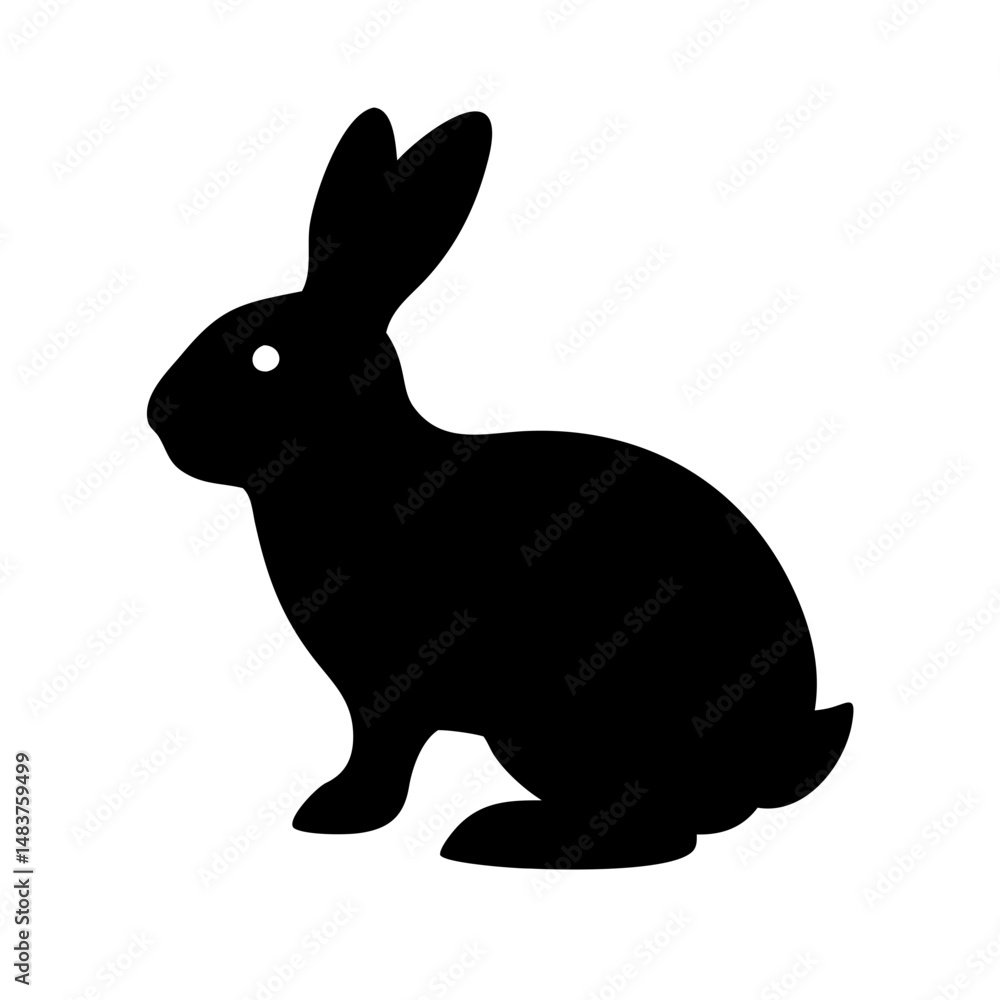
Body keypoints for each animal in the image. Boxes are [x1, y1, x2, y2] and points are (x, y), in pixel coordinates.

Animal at [148, 108, 853, 869]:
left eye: (265, 358)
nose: (159, 415)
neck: (358, 465)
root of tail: (769, 756)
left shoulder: (389, 694)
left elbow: (382, 754)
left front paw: (336, 813)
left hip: (548, 721)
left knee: (658, 828)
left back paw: (498, 836)